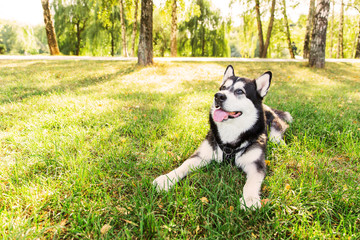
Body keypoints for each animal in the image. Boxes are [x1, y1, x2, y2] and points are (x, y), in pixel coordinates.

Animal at [153, 64, 292, 209]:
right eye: (223, 88)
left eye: (239, 91)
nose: (218, 96)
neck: (230, 133)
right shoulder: (202, 155)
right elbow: (184, 166)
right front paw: (167, 179)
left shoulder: (256, 163)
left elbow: (252, 182)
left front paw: (249, 199)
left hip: (268, 117)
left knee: (279, 123)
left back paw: (276, 139)